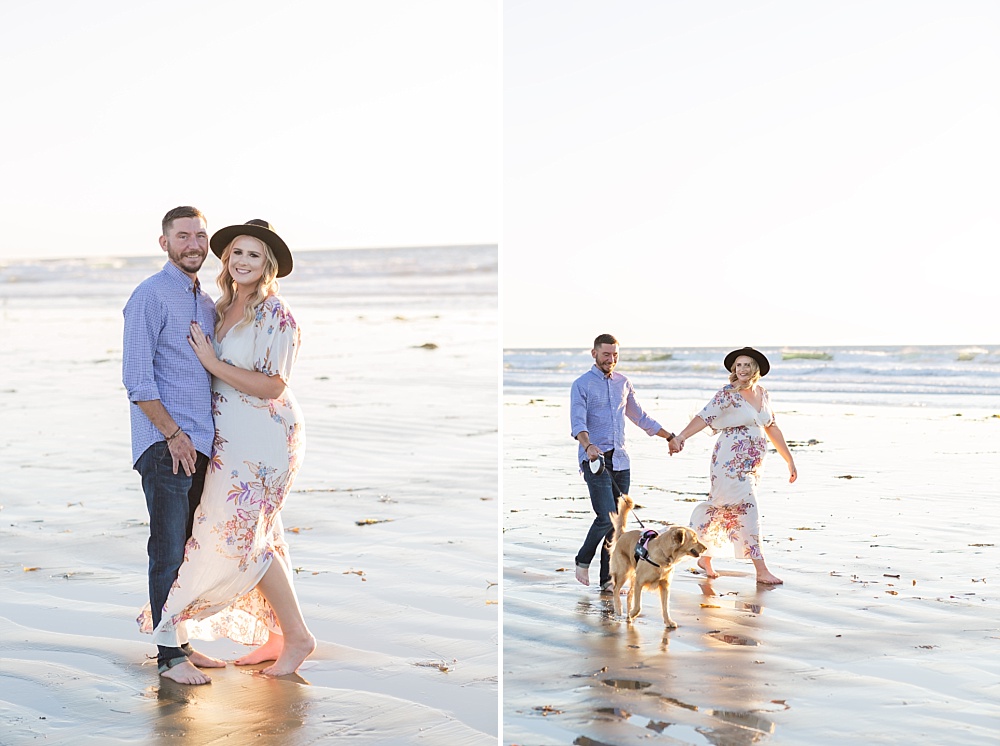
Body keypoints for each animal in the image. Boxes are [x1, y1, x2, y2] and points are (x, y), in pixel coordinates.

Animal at [604, 494, 708, 628]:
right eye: (694, 539)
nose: (706, 548)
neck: (664, 554)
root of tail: (623, 534)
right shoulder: (639, 582)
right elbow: (638, 606)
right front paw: (632, 613)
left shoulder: (665, 585)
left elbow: (666, 607)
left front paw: (668, 621)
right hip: (624, 572)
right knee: (616, 589)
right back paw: (619, 609)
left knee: (628, 594)